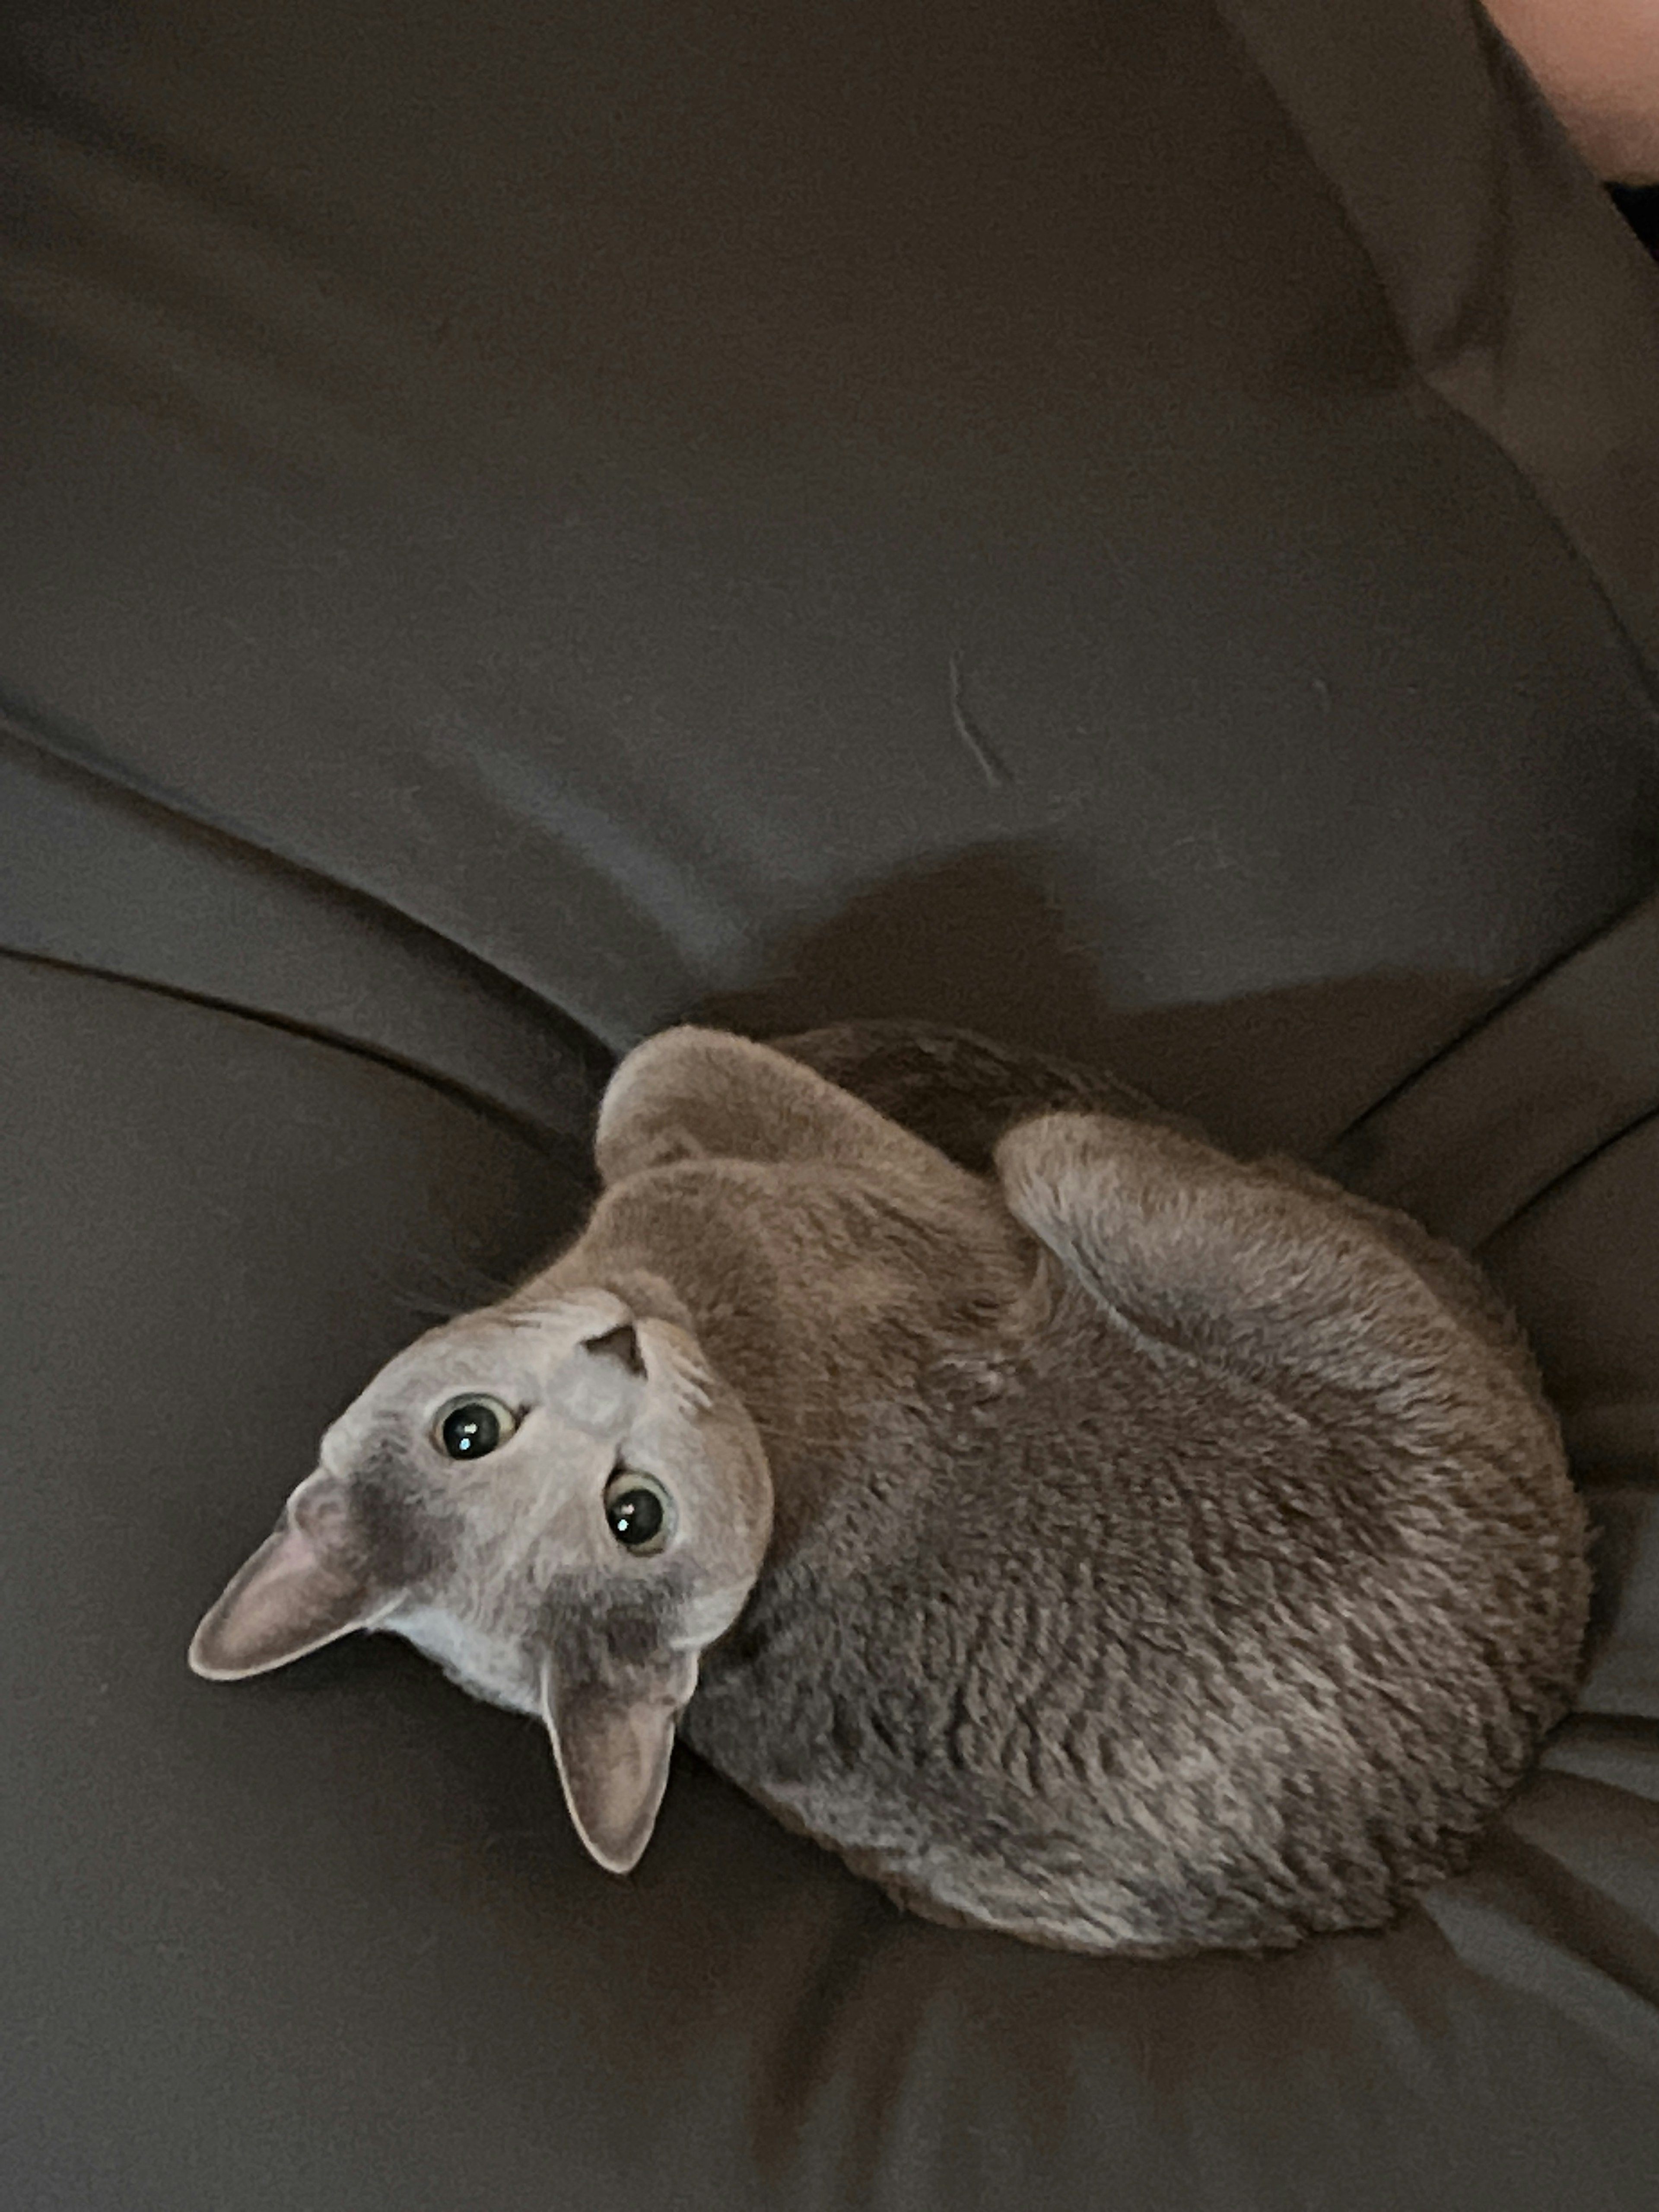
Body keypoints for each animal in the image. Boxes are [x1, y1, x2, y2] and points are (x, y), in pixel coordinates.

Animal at [191, 1017, 1601, 1955]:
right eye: (635, 1514)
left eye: (464, 1430)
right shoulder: (906, 1209)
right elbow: (662, 1059)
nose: (617, 1360)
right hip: (1079, 1165)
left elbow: (639, 1080)